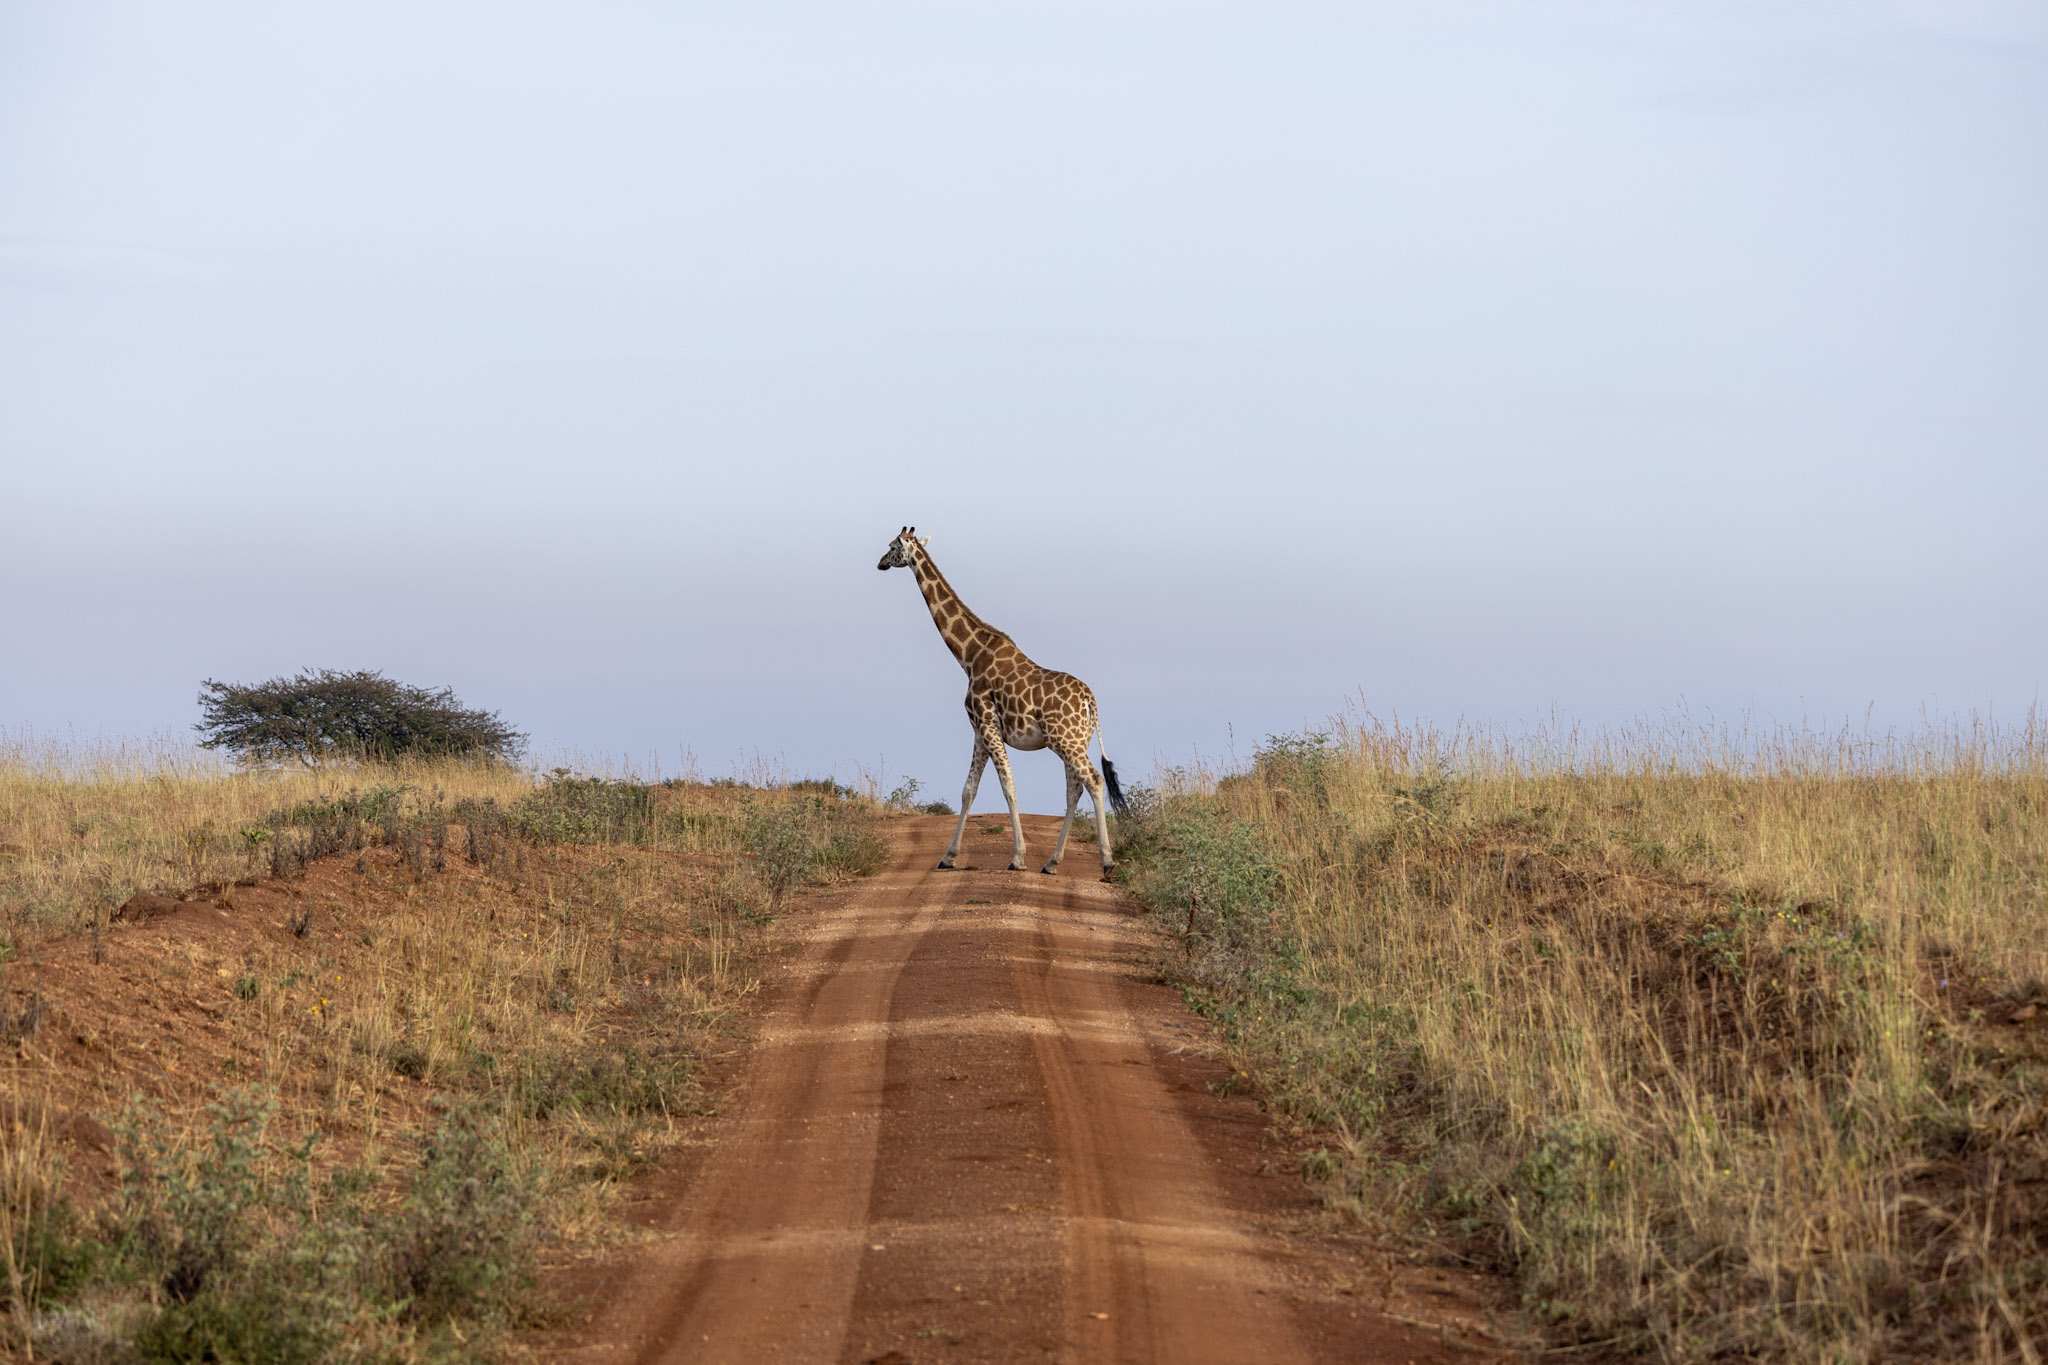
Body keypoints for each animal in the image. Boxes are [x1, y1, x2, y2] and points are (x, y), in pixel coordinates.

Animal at [872, 523, 1130, 875]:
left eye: (891, 546)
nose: (880, 563)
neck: (969, 655)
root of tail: (1091, 701)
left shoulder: (986, 724)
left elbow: (1008, 786)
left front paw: (1017, 858)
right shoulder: (980, 732)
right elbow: (968, 790)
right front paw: (948, 857)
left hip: (1065, 740)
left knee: (1093, 780)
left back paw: (1107, 861)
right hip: (1076, 740)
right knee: (1074, 788)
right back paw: (1051, 862)